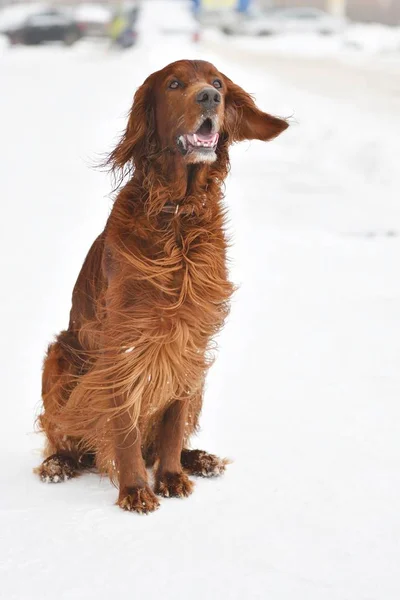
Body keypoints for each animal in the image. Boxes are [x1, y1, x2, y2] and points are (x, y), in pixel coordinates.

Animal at [36, 59, 288, 510]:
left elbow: (173, 420)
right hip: (59, 357)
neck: (178, 215)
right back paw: (58, 464)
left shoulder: (189, 342)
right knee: (63, 434)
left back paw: (200, 459)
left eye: (218, 82)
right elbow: (124, 425)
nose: (210, 97)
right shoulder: (125, 343)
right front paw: (135, 488)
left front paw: (170, 476)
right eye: (173, 84)